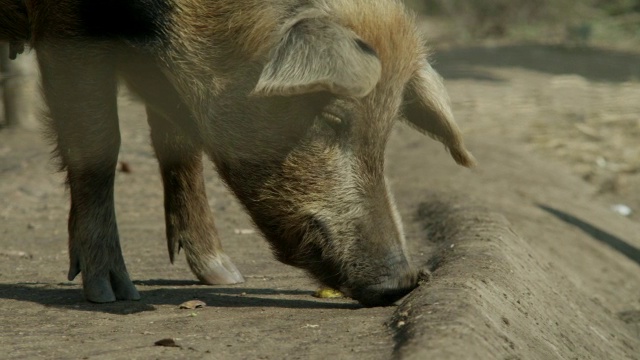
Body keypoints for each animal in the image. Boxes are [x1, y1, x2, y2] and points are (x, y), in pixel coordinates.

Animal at [1, 0, 476, 306]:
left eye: (389, 127)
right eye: (330, 117)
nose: (405, 281)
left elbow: (178, 143)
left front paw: (223, 276)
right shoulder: (68, 25)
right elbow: (98, 140)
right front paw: (113, 294)